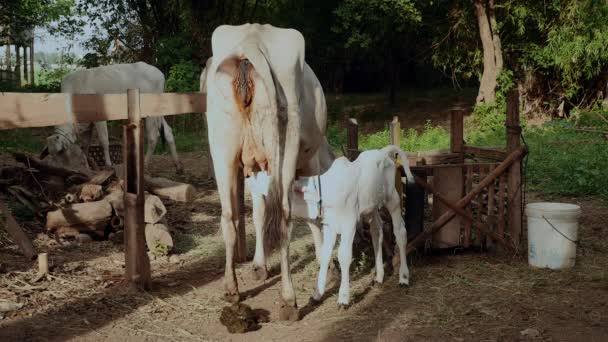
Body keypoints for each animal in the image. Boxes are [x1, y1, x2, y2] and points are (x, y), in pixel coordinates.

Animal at [42, 62, 182, 174]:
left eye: (60, 152)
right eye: (51, 154)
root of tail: (159, 73)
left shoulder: (99, 118)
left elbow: (104, 141)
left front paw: (109, 165)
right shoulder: (88, 123)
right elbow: (85, 145)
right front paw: (86, 162)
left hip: (150, 112)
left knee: (153, 136)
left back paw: (146, 166)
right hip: (159, 112)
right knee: (168, 132)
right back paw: (178, 166)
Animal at [203, 24, 328, 320]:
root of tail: (252, 37)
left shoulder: (255, 170)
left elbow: (258, 212)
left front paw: (259, 265)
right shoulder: (311, 163)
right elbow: (314, 212)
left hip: (222, 149)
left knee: (228, 215)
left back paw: (232, 289)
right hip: (285, 144)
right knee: (283, 216)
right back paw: (289, 300)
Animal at [247, 144, 414, 308]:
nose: (250, 179)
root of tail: (383, 152)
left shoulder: (349, 222)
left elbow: (344, 256)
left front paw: (343, 298)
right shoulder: (330, 225)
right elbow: (325, 254)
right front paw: (317, 294)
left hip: (393, 199)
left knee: (400, 232)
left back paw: (404, 277)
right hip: (371, 208)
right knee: (377, 231)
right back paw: (379, 277)